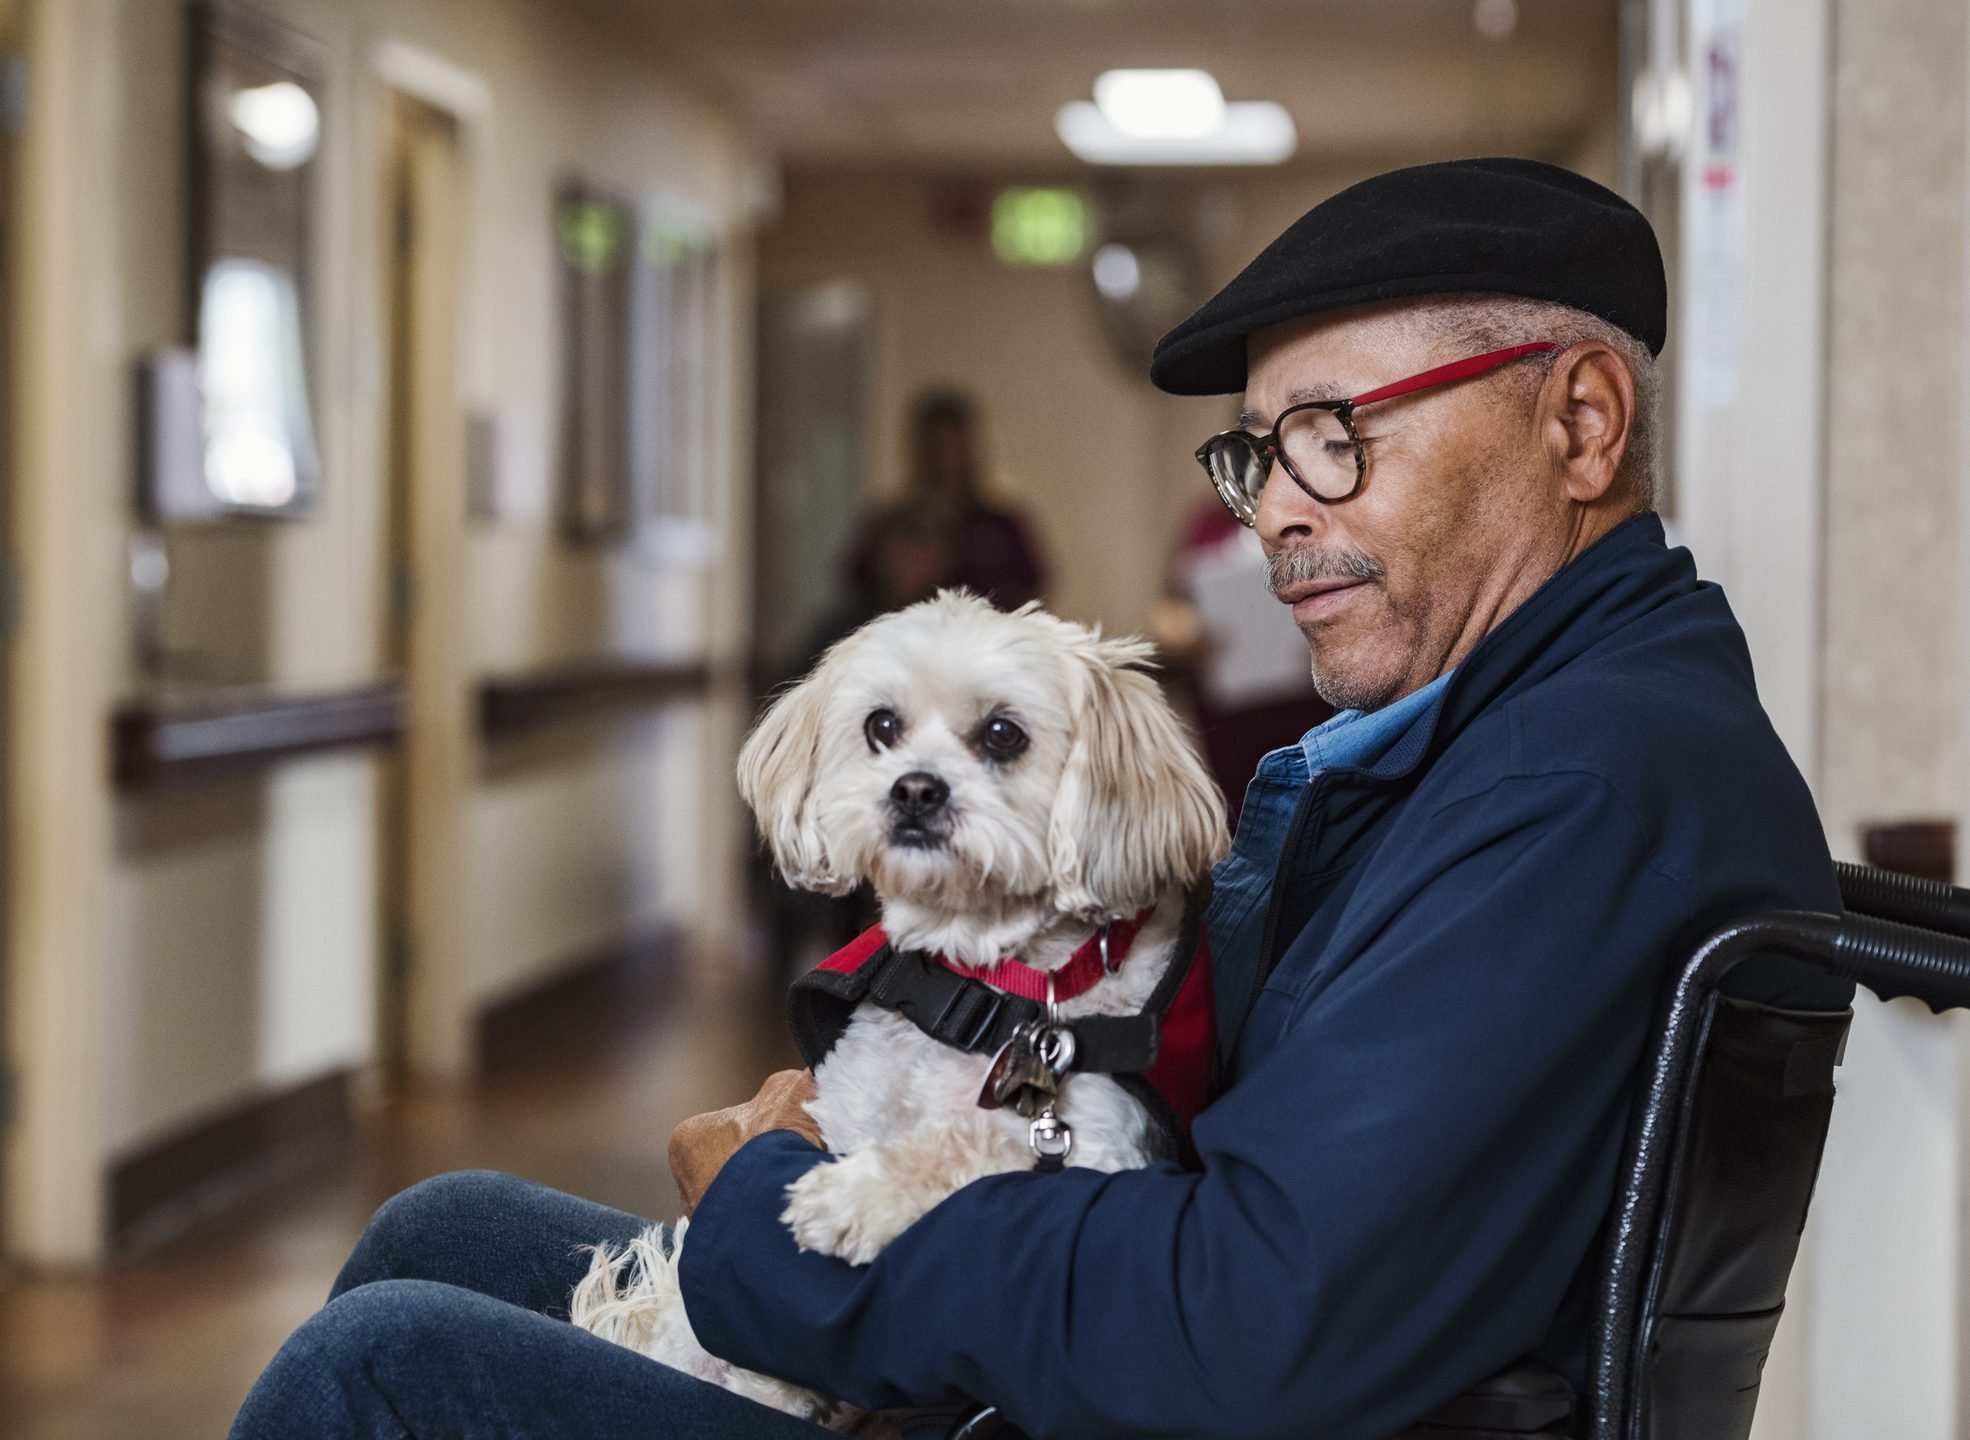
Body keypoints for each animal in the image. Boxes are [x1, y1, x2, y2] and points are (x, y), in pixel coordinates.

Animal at [563, 590, 1221, 1426]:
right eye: (882, 726)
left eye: (1003, 734)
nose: (913, 789)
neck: (986, 991)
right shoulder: (850, 1108)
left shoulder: (1098, 1154)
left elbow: (976, 1148)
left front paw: (857, 1196)